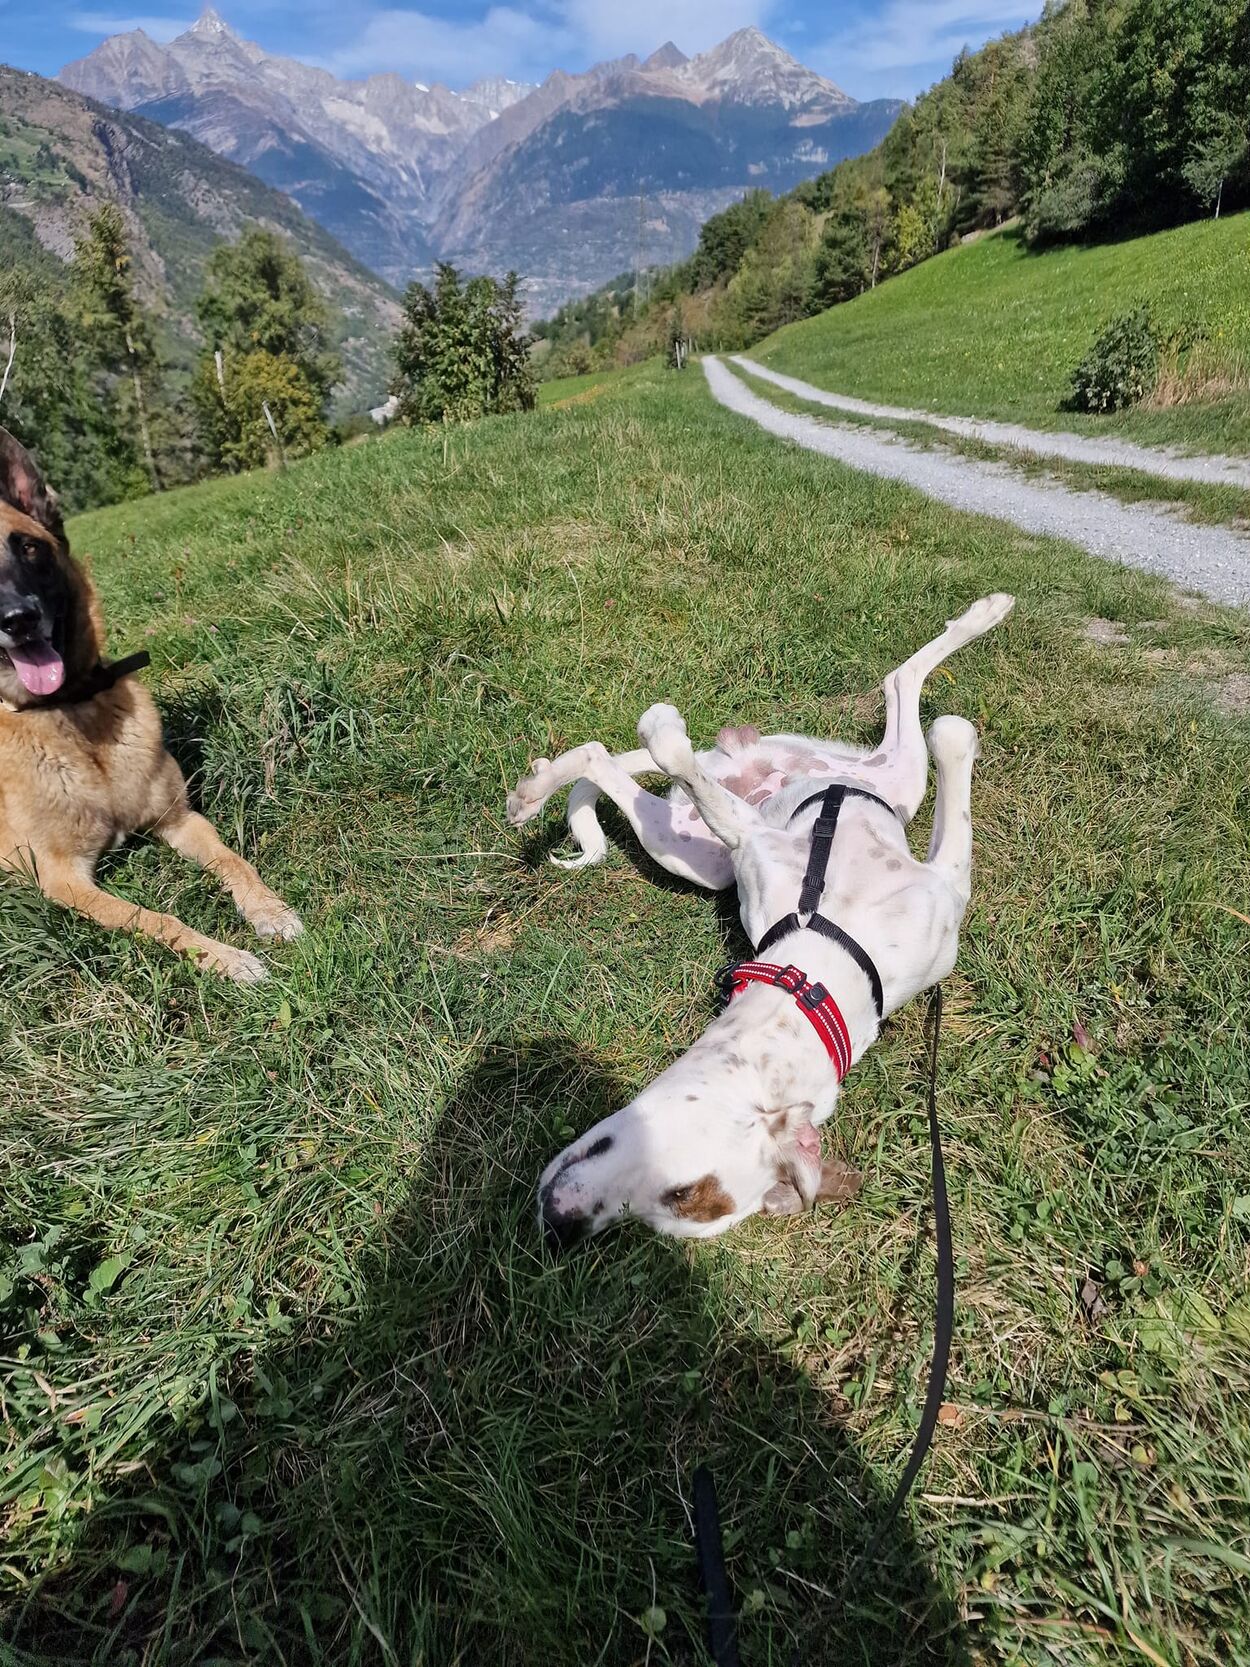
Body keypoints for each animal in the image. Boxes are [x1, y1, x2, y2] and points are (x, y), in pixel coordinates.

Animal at [0, 427, 301, 981]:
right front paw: (226, 958)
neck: (73, 717)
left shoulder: (179, 819)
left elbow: (234, 860)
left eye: (29, 548)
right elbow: (155, 917)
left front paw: (269, 909)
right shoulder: (64, 878)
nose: (18, 620)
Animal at [508, 594, 1014, 1244]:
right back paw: (532, 795)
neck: (819, 968)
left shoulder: (943, 895)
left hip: (698, 847)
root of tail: (745, 760)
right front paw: (661, 723)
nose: (557, 1224)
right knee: (617, 756)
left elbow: (953, 743)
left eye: (674, 1200)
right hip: (711, 841)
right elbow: (670, 747)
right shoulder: (754, 840)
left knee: (897, 685)